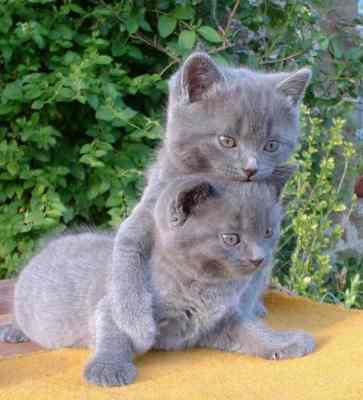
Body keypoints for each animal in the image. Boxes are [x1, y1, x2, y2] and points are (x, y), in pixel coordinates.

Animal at [0, 167, 314, 386]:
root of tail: (49, 245)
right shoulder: (122, 302)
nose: (259, 258)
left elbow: (252, 330)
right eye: (231, 238)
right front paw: (108, 368)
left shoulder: (221, 319)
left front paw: (284, 342)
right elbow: (115, 332)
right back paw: (14, 330)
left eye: (268, 232)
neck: (202, 286)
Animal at [112, 50, 312, 356]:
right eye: (227, 141)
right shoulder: (152, 206)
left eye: (271, 145)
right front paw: (134, 323)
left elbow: (247, 284)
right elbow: (126, 250)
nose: (251, 168)